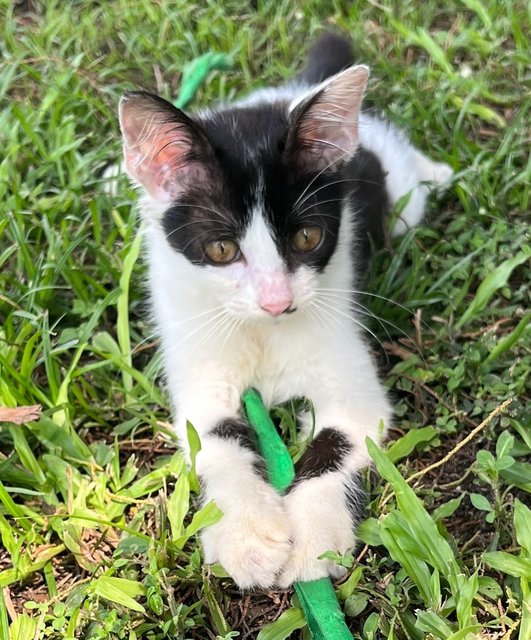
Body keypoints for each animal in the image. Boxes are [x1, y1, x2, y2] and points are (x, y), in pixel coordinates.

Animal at [118, 32, 450, 588]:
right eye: (222, 250)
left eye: (308, 238)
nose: (278, 302)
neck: (261, 333)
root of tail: (290, 91)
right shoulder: (200, 371)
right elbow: (218, 442)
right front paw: (248, 536)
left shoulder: (350, 377)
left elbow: (337, 440)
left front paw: (313, 539)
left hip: (400, 197)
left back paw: (439, 172)